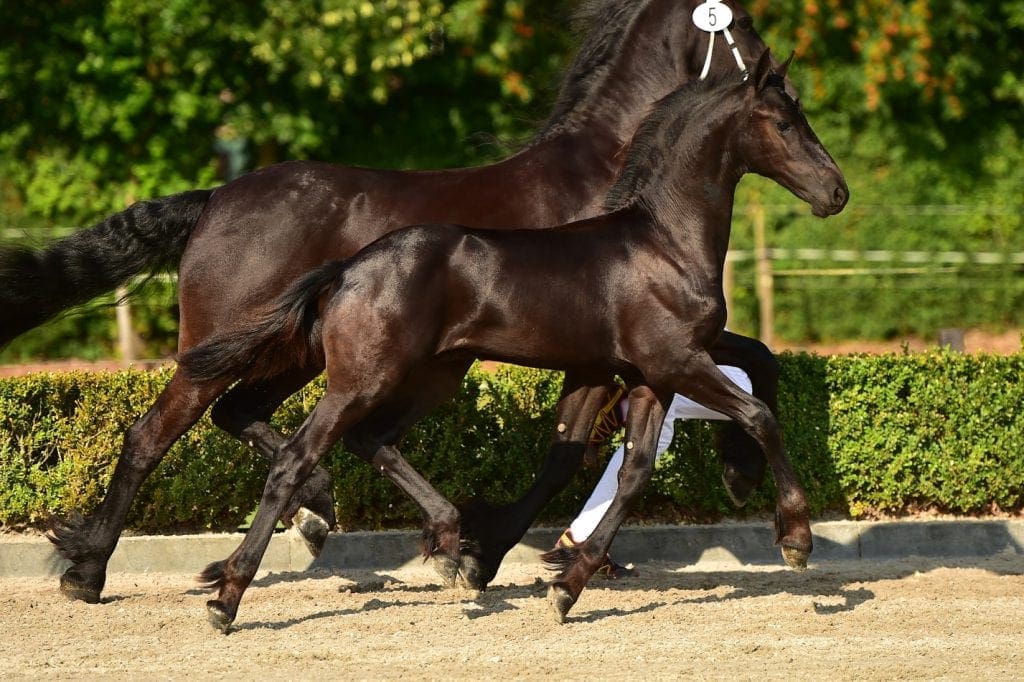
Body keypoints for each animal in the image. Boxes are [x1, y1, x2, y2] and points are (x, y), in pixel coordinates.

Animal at [22, 0, 803, 605]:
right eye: (744, 27)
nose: (784, 85)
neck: (624, 188)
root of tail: (215, 199)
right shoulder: (625, 345)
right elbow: (600, 441)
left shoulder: (630, 347)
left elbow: (752, 361)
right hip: (233, 350)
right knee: (153, 435)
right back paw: (89, 572)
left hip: (299, 354)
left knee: (242, 416)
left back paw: (313, 514)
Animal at [180, 51, 849, 629]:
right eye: (785, 124)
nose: (836, 192)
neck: (664, 243)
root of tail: (346, 268)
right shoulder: (677, 361)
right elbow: (760, 414)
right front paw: (794, 537)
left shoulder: (647, 375)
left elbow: (636, 472)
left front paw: (567, 585)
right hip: (363, 379)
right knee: (297, 458)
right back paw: (228, 596)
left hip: (433, 375)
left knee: (368, 441)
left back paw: (451, 541)